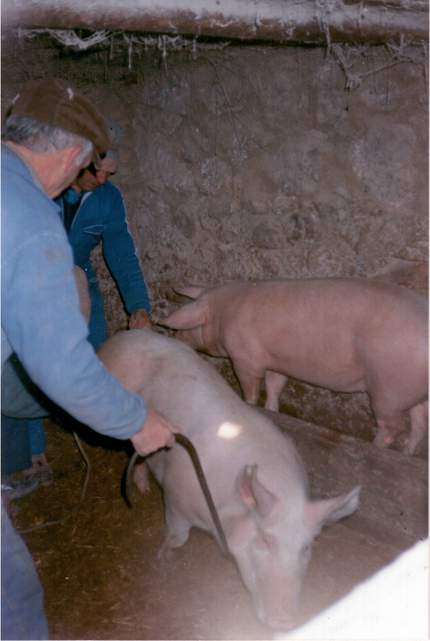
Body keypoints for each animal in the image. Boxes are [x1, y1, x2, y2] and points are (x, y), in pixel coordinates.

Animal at [97, 330, 360, 632]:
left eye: (306, 546)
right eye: (265, 540)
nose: (283, 621)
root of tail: (122, 337)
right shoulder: (175, 497)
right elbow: (177, 537)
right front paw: (162, 558)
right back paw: (141, 489)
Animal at [163, 278, 428, 452]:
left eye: (187, 325)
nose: (173, 337)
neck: (222, 315)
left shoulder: (244, 358)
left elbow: (251, 388)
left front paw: (251, 406)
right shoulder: (276, 360)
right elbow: (275, 386)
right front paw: (272, 410)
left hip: (389, 389)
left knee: (392, 427)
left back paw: (375, 447)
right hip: (411, 391)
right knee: (419, 423)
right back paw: (407, 452)